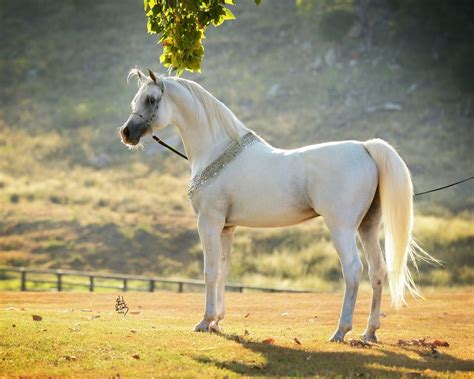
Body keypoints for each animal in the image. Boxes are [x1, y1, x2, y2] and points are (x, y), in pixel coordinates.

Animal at [120, 69, 436, 344]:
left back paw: (340, 331)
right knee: (377, 271)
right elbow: (222, 272)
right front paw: (218, 321)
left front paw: (204, 321)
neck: (217, 150)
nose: (126, 133)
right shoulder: (226, 228)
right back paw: (369, 332)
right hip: (367, 227)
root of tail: (364, 148)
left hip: (341, 228)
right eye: (136, 99)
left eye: (151, 99)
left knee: (353, 270)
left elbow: (209, 272)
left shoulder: (208, 223)